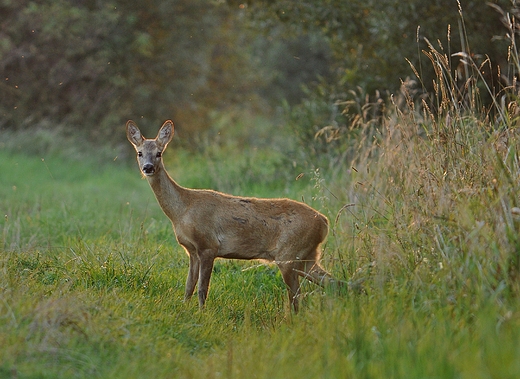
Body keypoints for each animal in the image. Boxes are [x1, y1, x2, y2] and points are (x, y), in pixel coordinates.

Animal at [126, 119, 342, 312]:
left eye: (159, 153)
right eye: (139, 152)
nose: (148, 167)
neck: (182, 210)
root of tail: (324, 222)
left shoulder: (208, 245)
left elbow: (202, 289)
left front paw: (201, 314)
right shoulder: (192, 250)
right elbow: (188, 287)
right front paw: (183, 310)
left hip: (289, 255)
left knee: (297, 298)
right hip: (306, 256)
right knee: (334, 283)